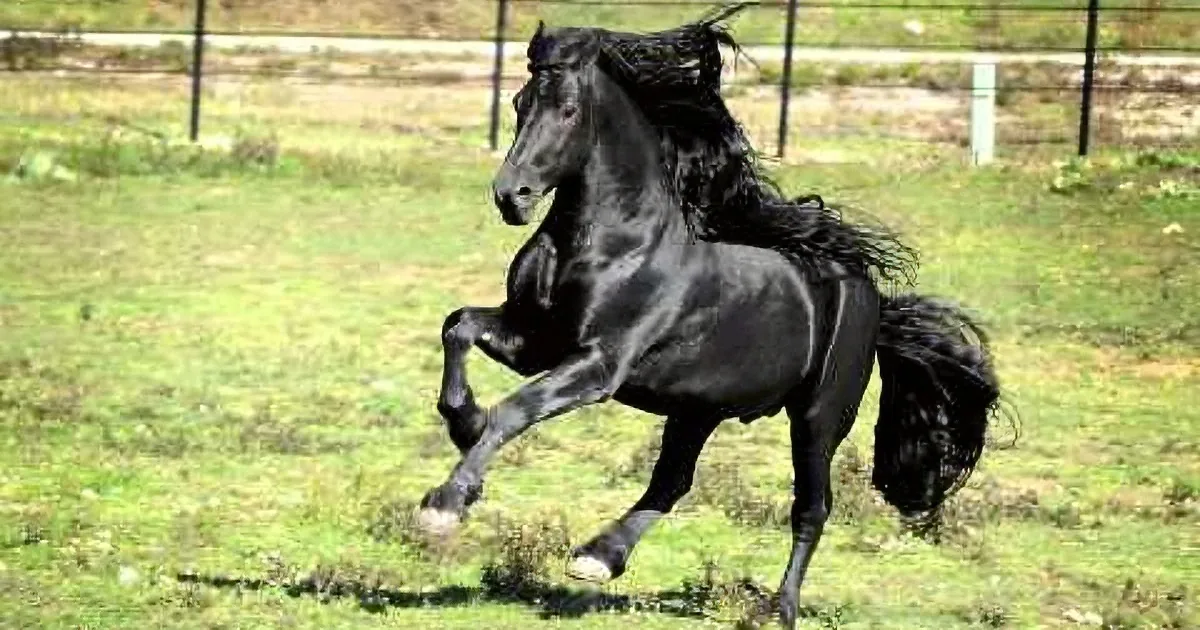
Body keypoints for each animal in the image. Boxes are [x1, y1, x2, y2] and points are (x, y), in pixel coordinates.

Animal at [415, 5, 1007, 627]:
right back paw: (598, 557)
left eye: (569, 110)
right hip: (698, 406)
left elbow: (516, 410)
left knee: (812, 506)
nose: (513, 196)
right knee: (672, 482)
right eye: (519, 102)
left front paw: (445, 504)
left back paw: (779, 608)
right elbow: (459, 326)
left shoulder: (597, 367)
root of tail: (871, 299)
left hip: (818, 418)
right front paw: (464, 421)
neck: (614, 242)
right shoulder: (536, 340)